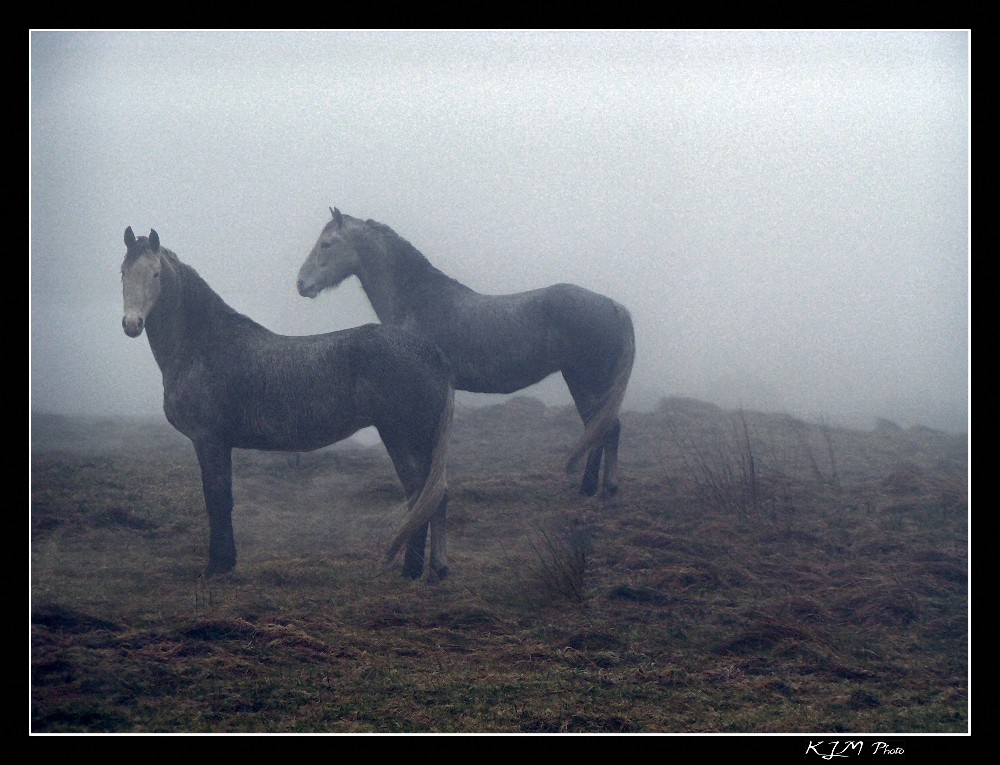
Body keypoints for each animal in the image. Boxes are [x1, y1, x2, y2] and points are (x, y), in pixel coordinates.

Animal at [119, 227, 456, 580]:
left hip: (404, 438)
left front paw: (217, 566)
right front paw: (226, 561)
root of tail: (432, 352)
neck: (203, 344)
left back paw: (411, 571)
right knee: (432, 497)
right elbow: (222, 499)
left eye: (156, 274)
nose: (132, 323)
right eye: (123, 272)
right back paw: (435, 570)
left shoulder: (209, 440)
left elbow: (217, 499)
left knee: (421, 495)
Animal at [294, 207, 632, 496]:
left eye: (327, 244)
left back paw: (596, 488)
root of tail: (613, 306)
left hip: (586, 380)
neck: (419, 301)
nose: (301, 284)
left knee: (605, 428)